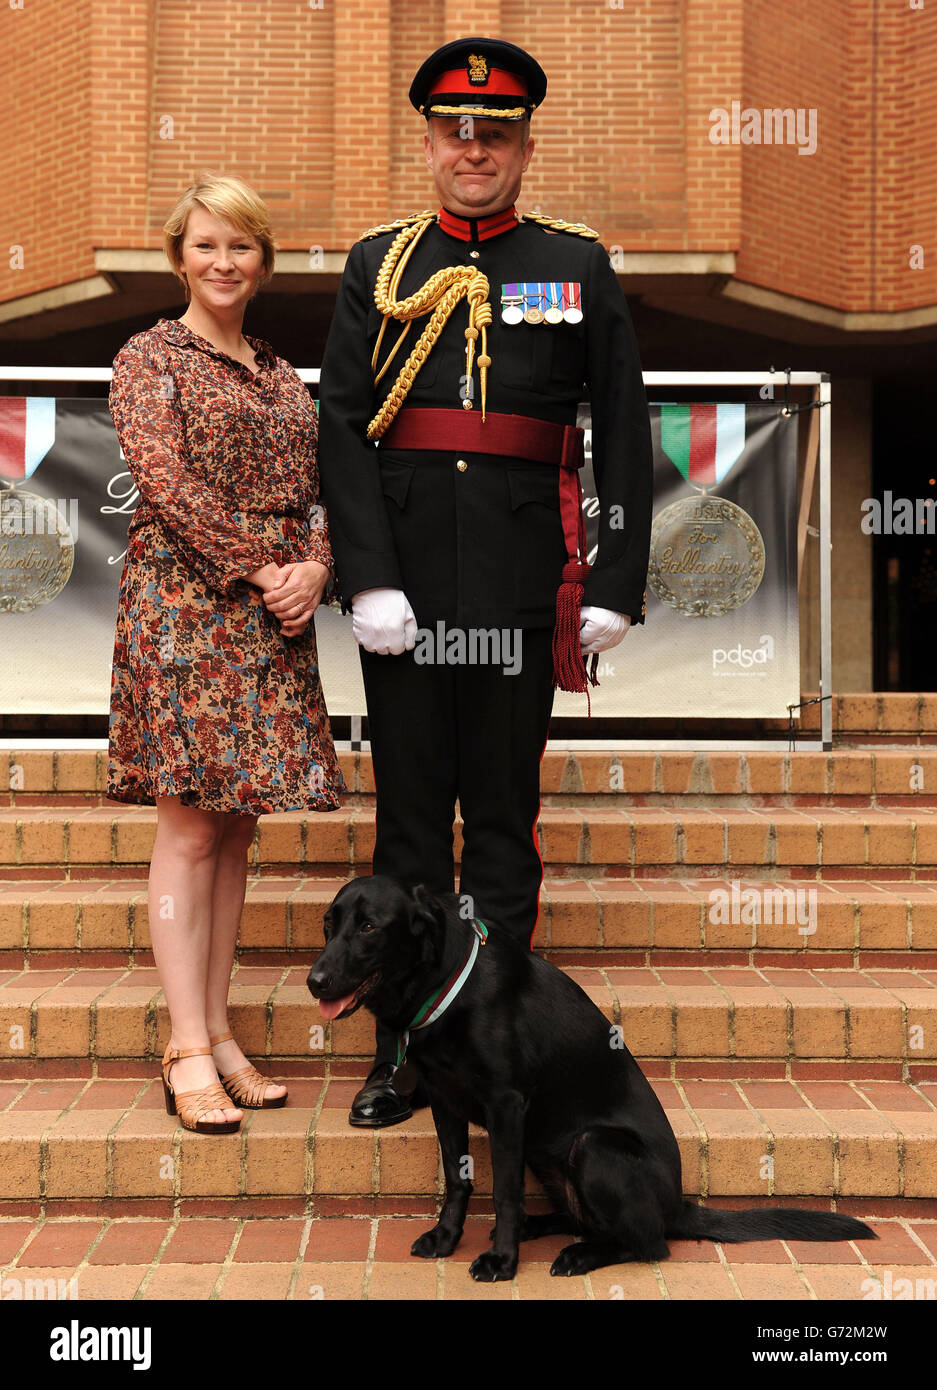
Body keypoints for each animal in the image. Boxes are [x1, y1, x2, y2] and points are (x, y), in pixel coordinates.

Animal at [305, 878, 867, 1278]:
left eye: (370, 927)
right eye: (329, 923)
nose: (315, 982)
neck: (444, 982)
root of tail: (678, 1206)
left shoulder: (506, 1105)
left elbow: (504, 1191)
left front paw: (502, 1263)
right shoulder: (446, 1100)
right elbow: (457, 1178)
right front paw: (447, 1238)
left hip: (591, 1146)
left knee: (649, 1243)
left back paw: (577, 1254)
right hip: (546, 1151)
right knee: (582, 1217)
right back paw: (540, 1228)